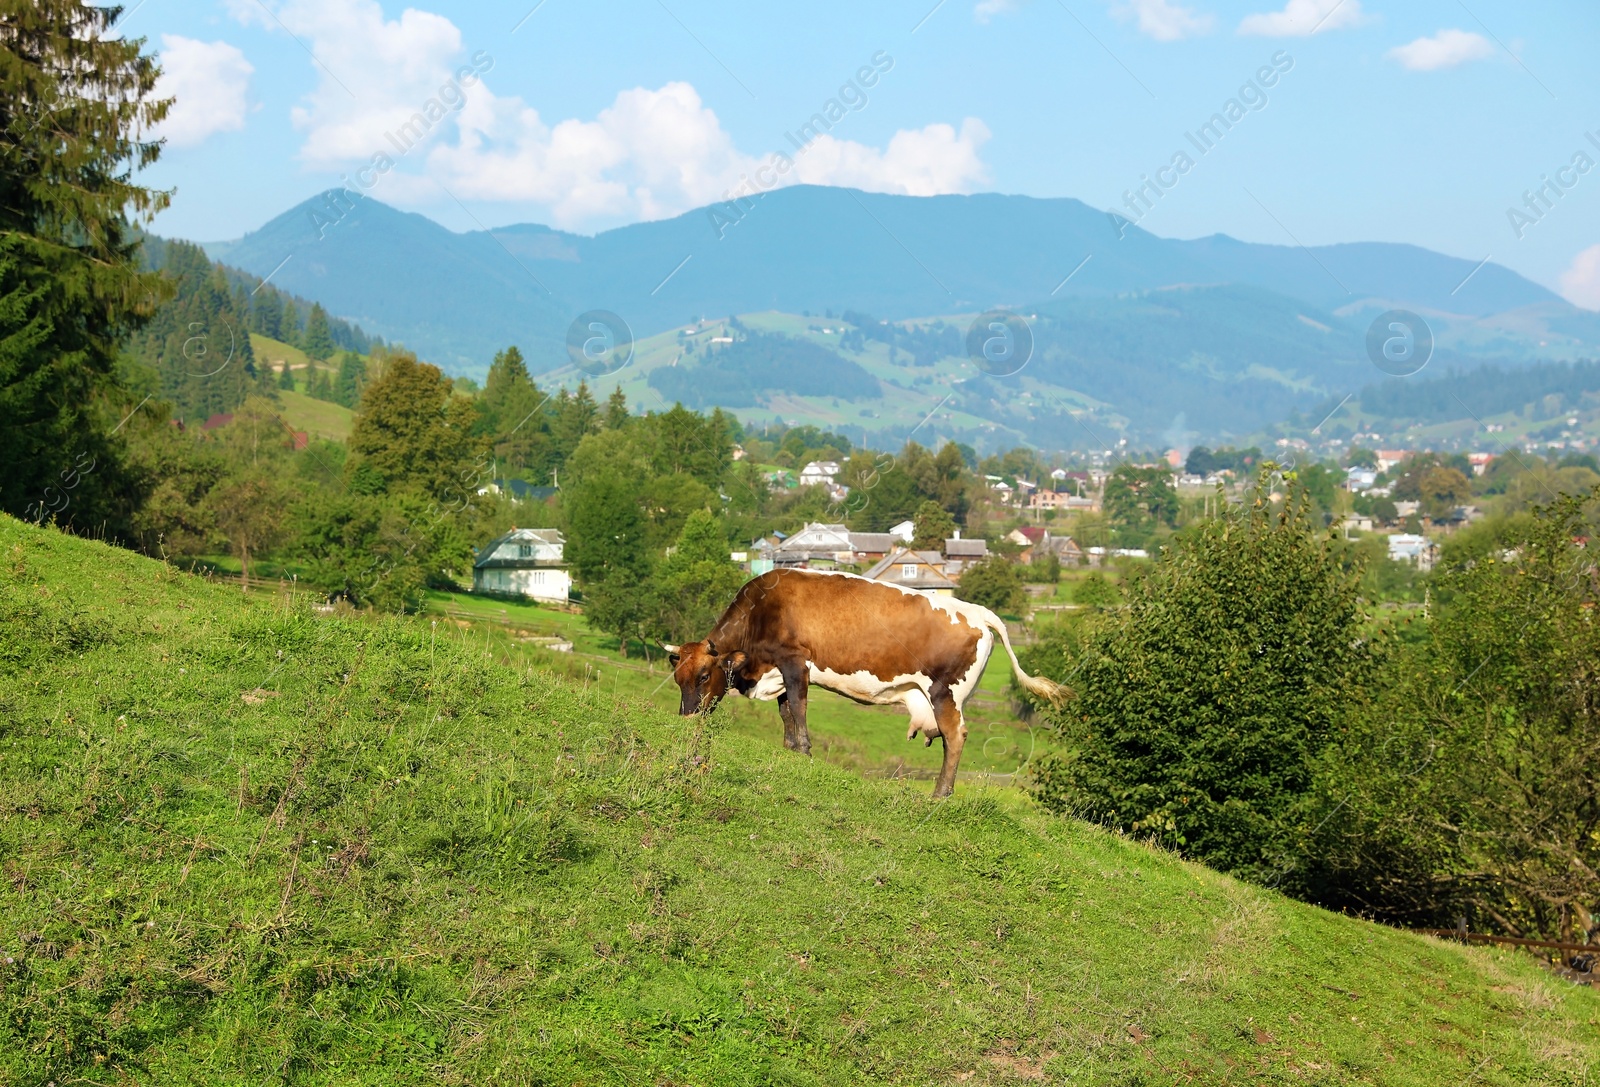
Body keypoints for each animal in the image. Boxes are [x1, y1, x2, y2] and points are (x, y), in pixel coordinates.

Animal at [668, 569, 1068, 800]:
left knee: (955, 737)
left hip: (946, 693)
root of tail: (978, 611)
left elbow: (798, 706)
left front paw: (804, 751)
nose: (685, 718)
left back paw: (940, 794)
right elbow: (786, 713)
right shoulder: (778, 670)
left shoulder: (795, 661)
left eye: (703, 676)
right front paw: (789, 749)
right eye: (678, 678)